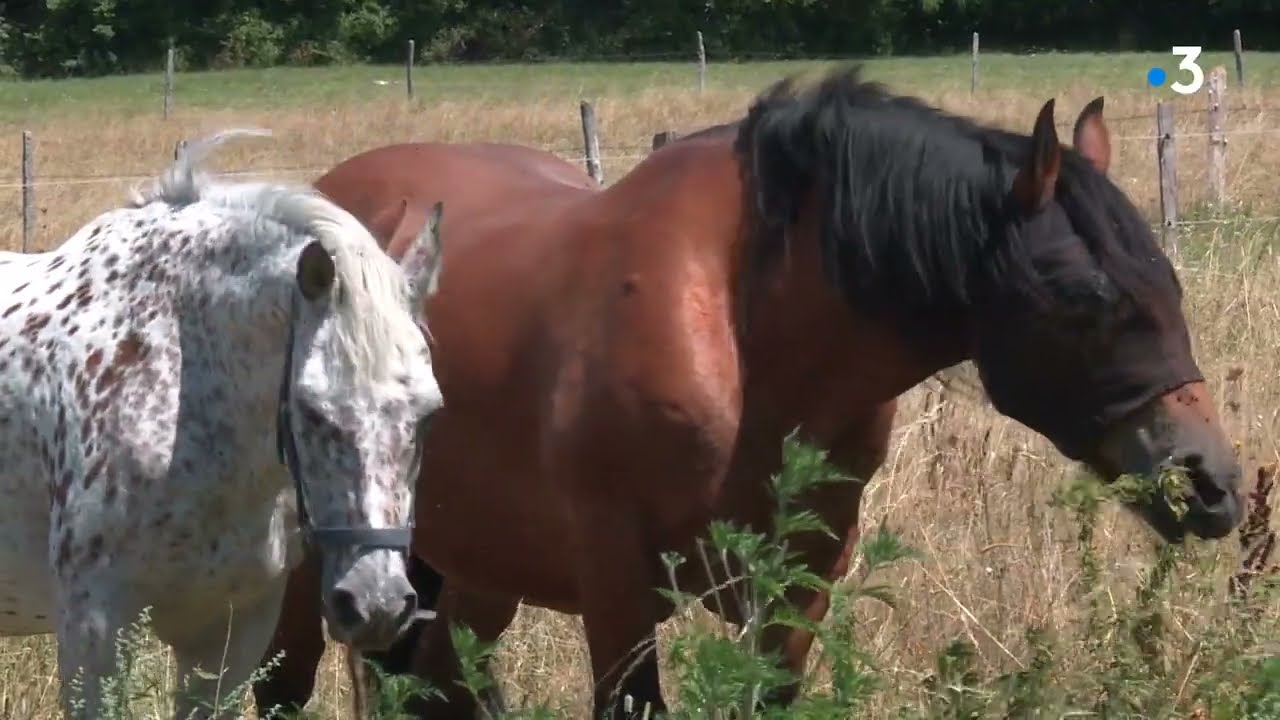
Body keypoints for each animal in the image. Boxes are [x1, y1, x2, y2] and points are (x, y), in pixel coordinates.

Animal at [253, 65, 1244, 719]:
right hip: (318, 567)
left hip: (472, 569)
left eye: (1167, 285)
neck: (744, 332)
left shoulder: (801, 581)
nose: (1215, 482)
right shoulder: (616, 583)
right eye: (1086, 298)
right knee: (285, 687)